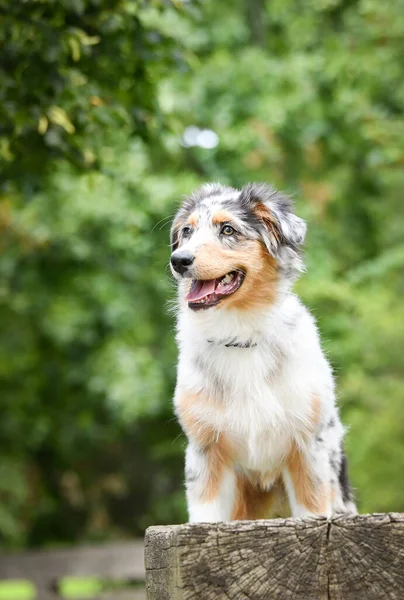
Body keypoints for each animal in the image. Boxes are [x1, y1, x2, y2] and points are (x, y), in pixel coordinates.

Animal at [170, 182, 356, 520]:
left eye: (228, 229)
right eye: (187, 231)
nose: (179, 259)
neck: (240, 335)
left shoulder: (308, 446)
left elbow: (311, 508)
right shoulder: (205, 449)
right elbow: (205, 515)